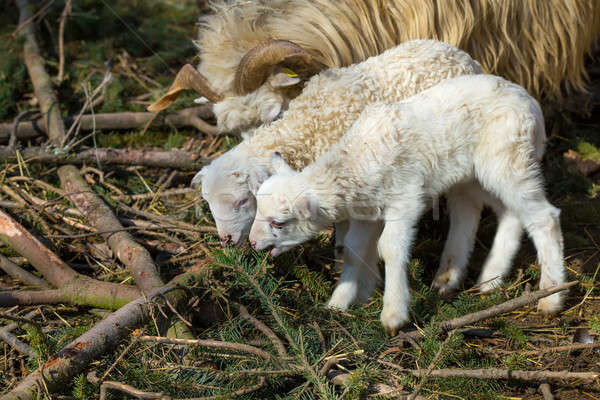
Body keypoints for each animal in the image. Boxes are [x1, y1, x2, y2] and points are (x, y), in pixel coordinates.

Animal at [250, 74, 568, 332]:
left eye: (279, 222)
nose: (252, 243)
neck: (355, 161)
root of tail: (531, 103)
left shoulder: (405, 198)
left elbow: (390, 248)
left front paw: (393, 314)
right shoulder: (366, 211)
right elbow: (352, 250)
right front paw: (340, 303)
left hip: (508, 156)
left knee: (544, 216)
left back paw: (551, 297)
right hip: (478, 174)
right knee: (502, 213)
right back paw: (481, 278)